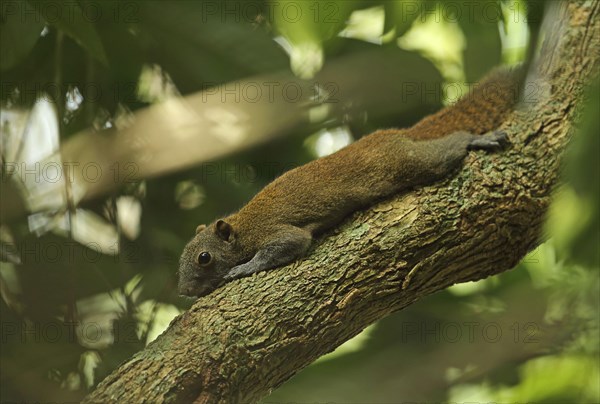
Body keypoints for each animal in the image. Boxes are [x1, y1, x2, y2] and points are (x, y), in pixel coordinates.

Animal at [178, 67, 520, 296]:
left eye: (204, 258)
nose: (184, 292)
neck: (241, 226)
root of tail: (398, 134)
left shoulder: (272, 231)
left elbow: (289, 244)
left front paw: (243, 268)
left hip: (413, 161)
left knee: (450, 147)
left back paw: (477, 139)